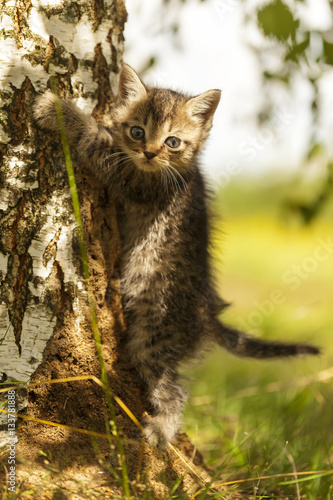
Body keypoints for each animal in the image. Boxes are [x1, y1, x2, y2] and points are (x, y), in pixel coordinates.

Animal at [34, 63, 320, 450]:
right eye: (137, 131)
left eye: (172, 141)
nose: (150, 152)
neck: (172, 170)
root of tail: (206, 312)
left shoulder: (135, 180)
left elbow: (97, 142)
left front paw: (58, 109)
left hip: (154, 335)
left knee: (173, 389)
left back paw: (161, 428)